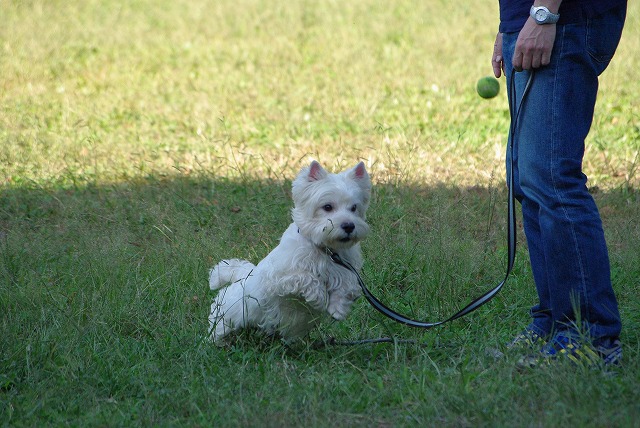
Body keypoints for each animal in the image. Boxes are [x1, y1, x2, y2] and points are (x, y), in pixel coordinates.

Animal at [208, 160, 372, 344]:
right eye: (327, 207)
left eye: (354, 207)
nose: (349, 226)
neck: (325, 250)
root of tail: (242, 276)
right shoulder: (279, 278)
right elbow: (306, 278)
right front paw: (320, 297)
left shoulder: (346, 270)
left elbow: (347, 285)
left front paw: (338, 309)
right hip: (228, 315)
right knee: (218, 328)